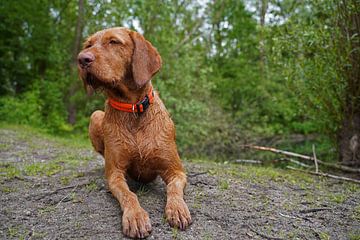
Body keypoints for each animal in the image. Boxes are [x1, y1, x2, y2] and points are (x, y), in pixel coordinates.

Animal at [77, 27, 193, 238]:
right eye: (88, 45)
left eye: (114, 42)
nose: (82, 59)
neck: (133, 109)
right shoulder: (115, 175)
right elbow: (128, 194)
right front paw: (136, 216)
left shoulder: (176, 171)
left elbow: (173, 189)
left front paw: (177, 209)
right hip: (95, 116)